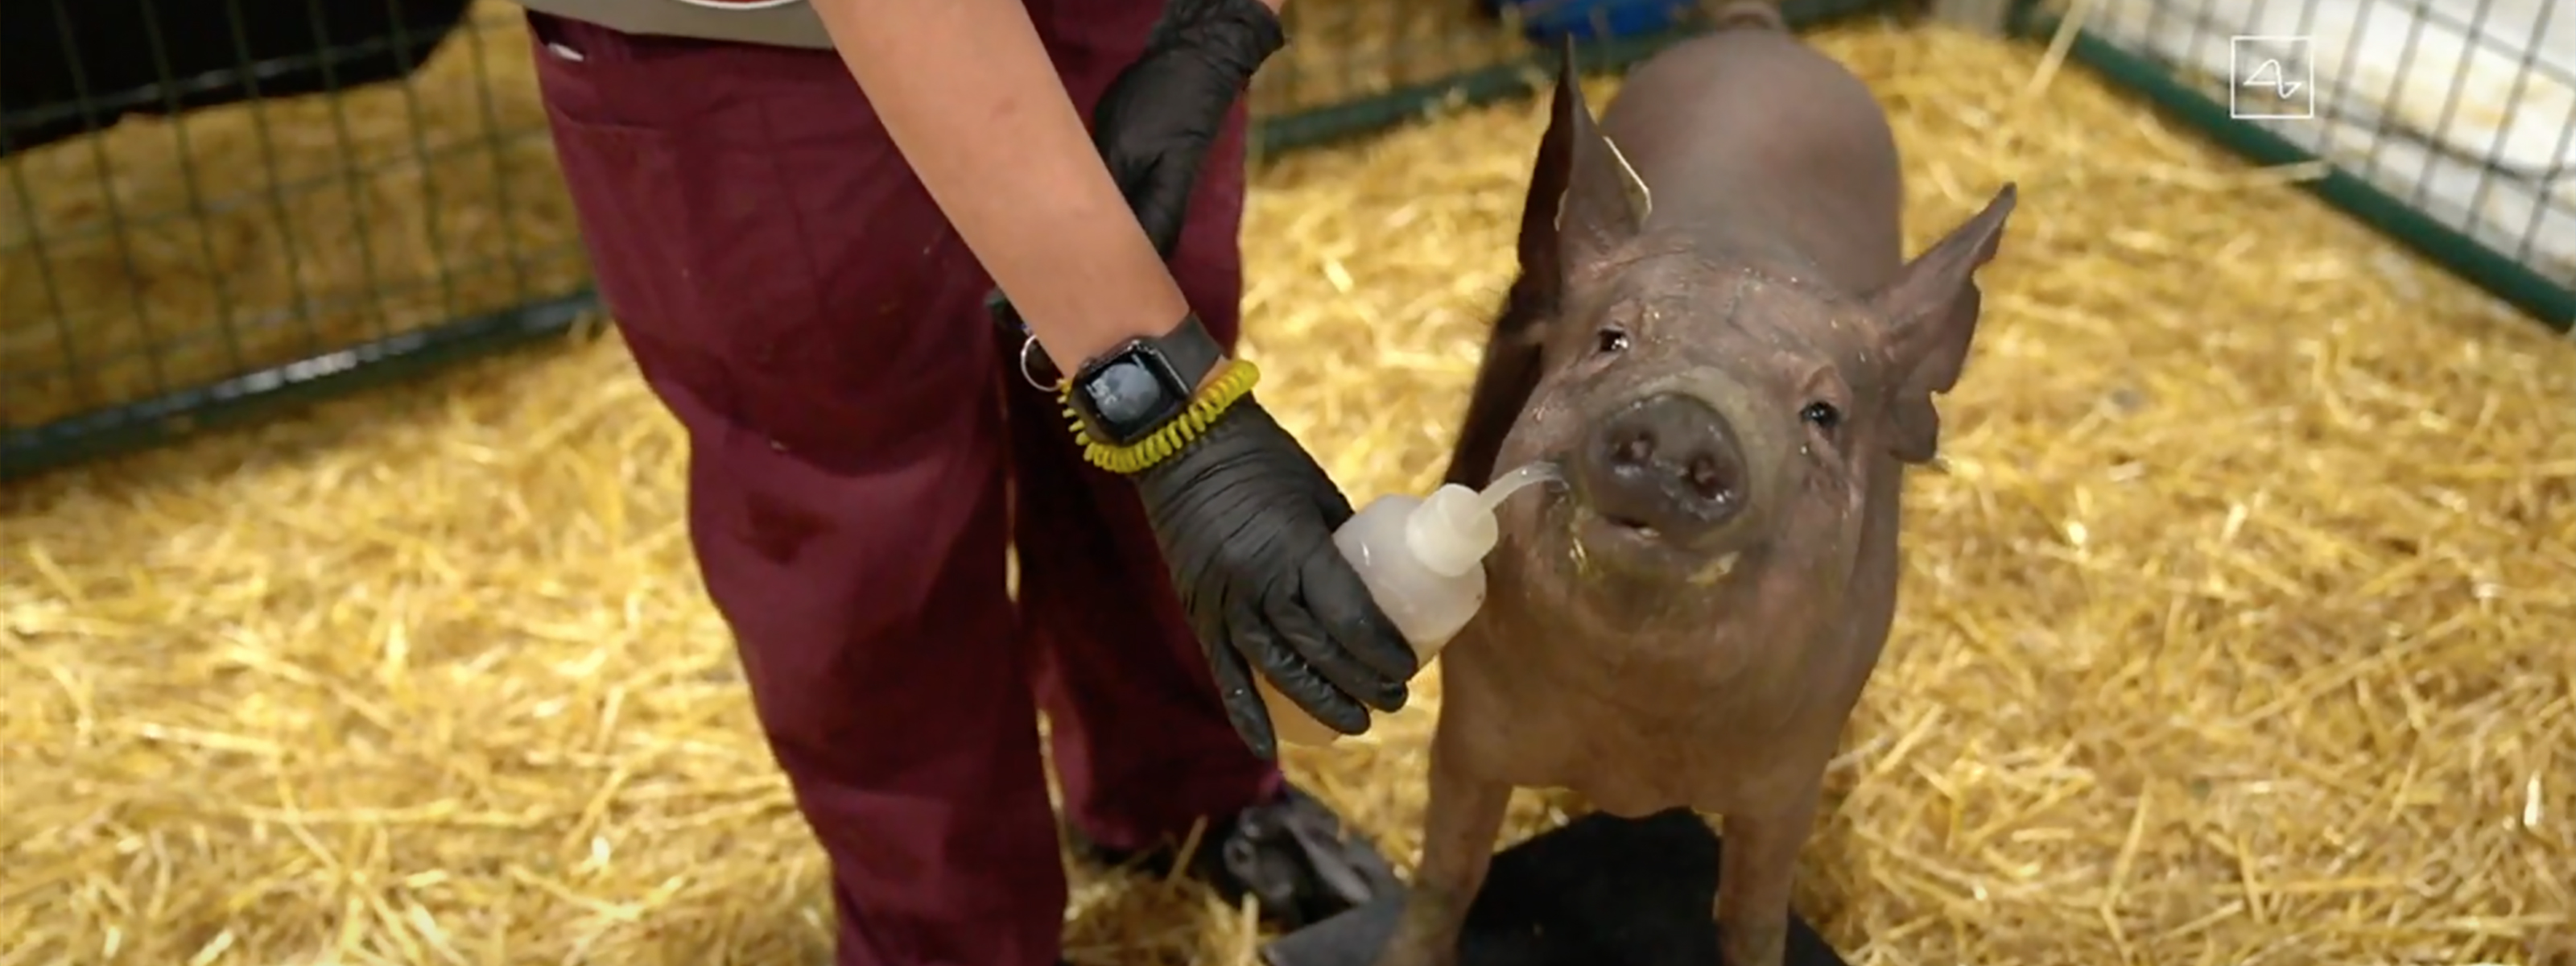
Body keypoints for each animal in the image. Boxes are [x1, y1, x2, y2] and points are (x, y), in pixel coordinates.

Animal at [1375, 23, 2018, 966]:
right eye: (1611, 340)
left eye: (1822, 413)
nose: (1686, 418)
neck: (1632, 737)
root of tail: (1760, 34)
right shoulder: (1471, 722)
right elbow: (1448, 874)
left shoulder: (1790, 774)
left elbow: (1751, 917)